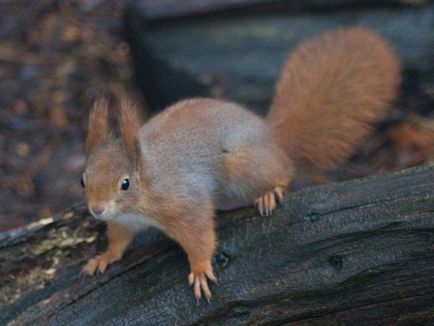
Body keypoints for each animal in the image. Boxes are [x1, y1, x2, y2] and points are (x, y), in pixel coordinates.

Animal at [80, 26, 400, 302]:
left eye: (125, 183)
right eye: (82, 180)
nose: (97, 210)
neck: (143, 192)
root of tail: (271, 137)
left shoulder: (185, 203)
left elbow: (200, 235)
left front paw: (199, 269)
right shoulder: (123, 221)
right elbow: (119, 240)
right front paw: (104, 257)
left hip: (243, 164)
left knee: (284, 172)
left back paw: (270, 193)